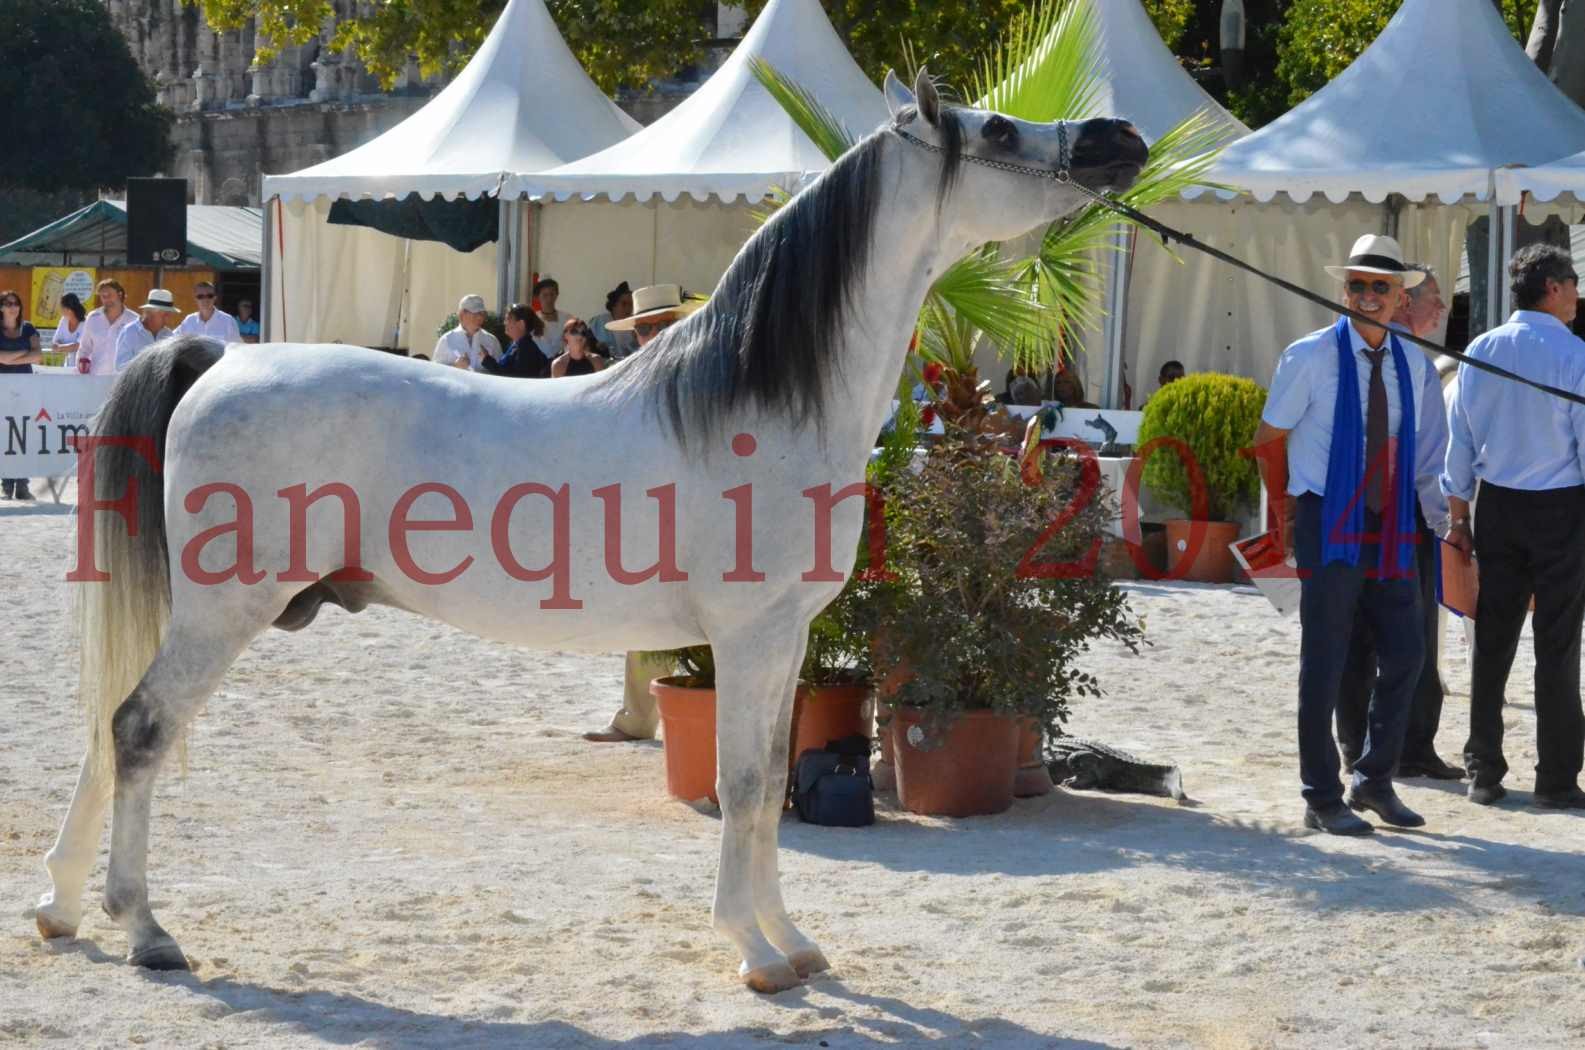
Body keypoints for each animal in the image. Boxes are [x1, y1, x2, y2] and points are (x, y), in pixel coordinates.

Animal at [37, 74, 1147, 996]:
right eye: (997, 129)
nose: (1119, 135)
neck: (759, 399)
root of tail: (216, 360)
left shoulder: (785, 639)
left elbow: (770, 783)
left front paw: (792, 943)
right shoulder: (747, 637)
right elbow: (745, 785)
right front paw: (754, 954)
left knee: (106, 725)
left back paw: (60, 907)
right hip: (225, 611)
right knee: (139, 729)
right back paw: (146, 931)